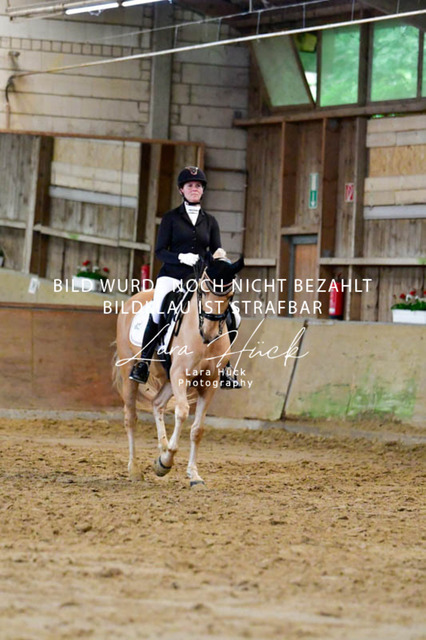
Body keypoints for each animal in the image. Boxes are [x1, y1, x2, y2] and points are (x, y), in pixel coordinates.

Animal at [113, 255, 244, 487]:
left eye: (229, 296)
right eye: (204, 291)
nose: (209, 334)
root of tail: (134, 298)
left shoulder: (208, 383)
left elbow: (197, 429)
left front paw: (193, 475)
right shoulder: (180, 375)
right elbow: (182, 412)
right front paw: (166, 461)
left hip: (168, 378)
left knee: (157, 404)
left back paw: (161, 449)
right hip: (130, 371)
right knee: (131, 418)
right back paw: (135, 469)